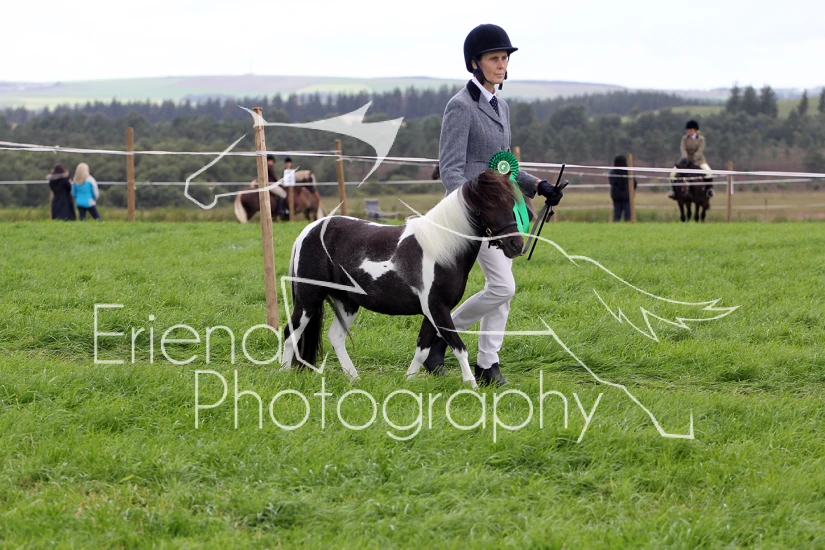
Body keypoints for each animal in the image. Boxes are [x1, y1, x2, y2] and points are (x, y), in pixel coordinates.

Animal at [281, 169, 524, 388]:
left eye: (511, 203)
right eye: (489, 205)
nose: (516, 245)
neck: (441, 249)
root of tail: (309, 230)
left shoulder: (431, 312)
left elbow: (422, 349)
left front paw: (407, 382)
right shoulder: (437, 308)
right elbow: (459, 347)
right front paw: (472, 385)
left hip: (347, 302)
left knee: (335, 337)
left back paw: (354, 378)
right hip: (309, 298)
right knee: (290, 332)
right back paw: (284, 375)